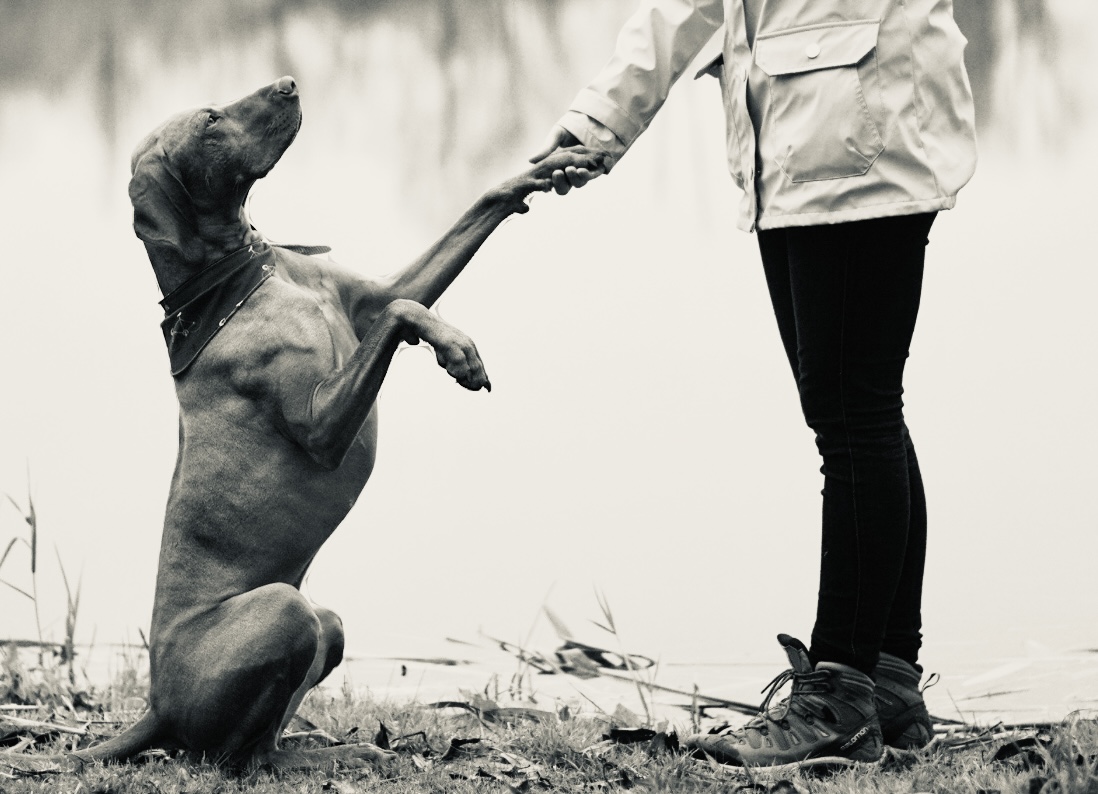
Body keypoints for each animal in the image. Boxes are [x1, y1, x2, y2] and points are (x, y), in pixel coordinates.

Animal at [2, 76, 604, 773]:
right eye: (211, 121)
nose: (289, 83)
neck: (247, 273)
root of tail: (155, 708)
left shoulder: (371, 295)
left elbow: (429, 263)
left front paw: (544, 169)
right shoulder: (321, 426)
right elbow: (404, 311)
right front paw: (457, 349)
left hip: (329, 625)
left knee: (272, 724)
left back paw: (324, 746)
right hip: (286, 613)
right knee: (234, 758)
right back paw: (323, 754)